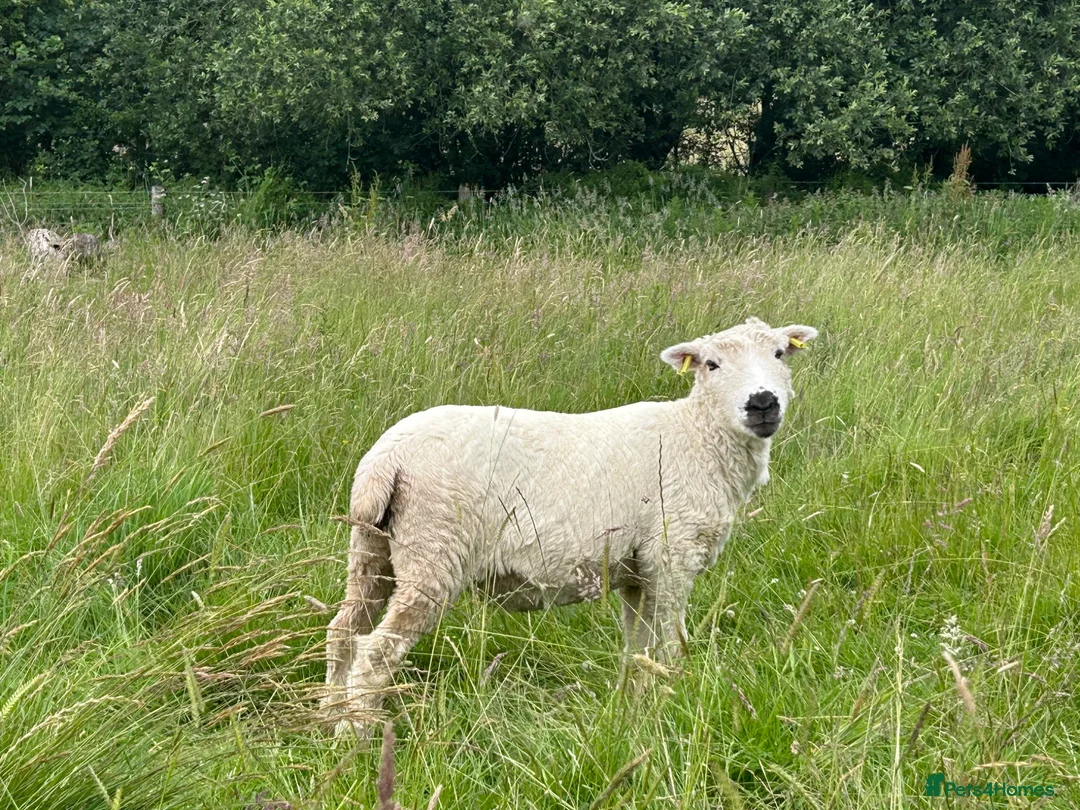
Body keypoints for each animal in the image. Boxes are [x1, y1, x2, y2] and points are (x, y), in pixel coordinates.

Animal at [323, 316, 818, 734]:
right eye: (712, 364)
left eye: (779, 353)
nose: (762, 403)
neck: (697, 436)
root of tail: (384, 460)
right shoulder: (671, 556)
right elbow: (670, 646)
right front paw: (672, 699)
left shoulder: (638, 570)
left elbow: (637, 648)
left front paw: (632, 708)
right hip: (434, 547)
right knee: (375, 651)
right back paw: (359, 735)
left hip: (372, 547)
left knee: (343, 630)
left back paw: (330, 718)